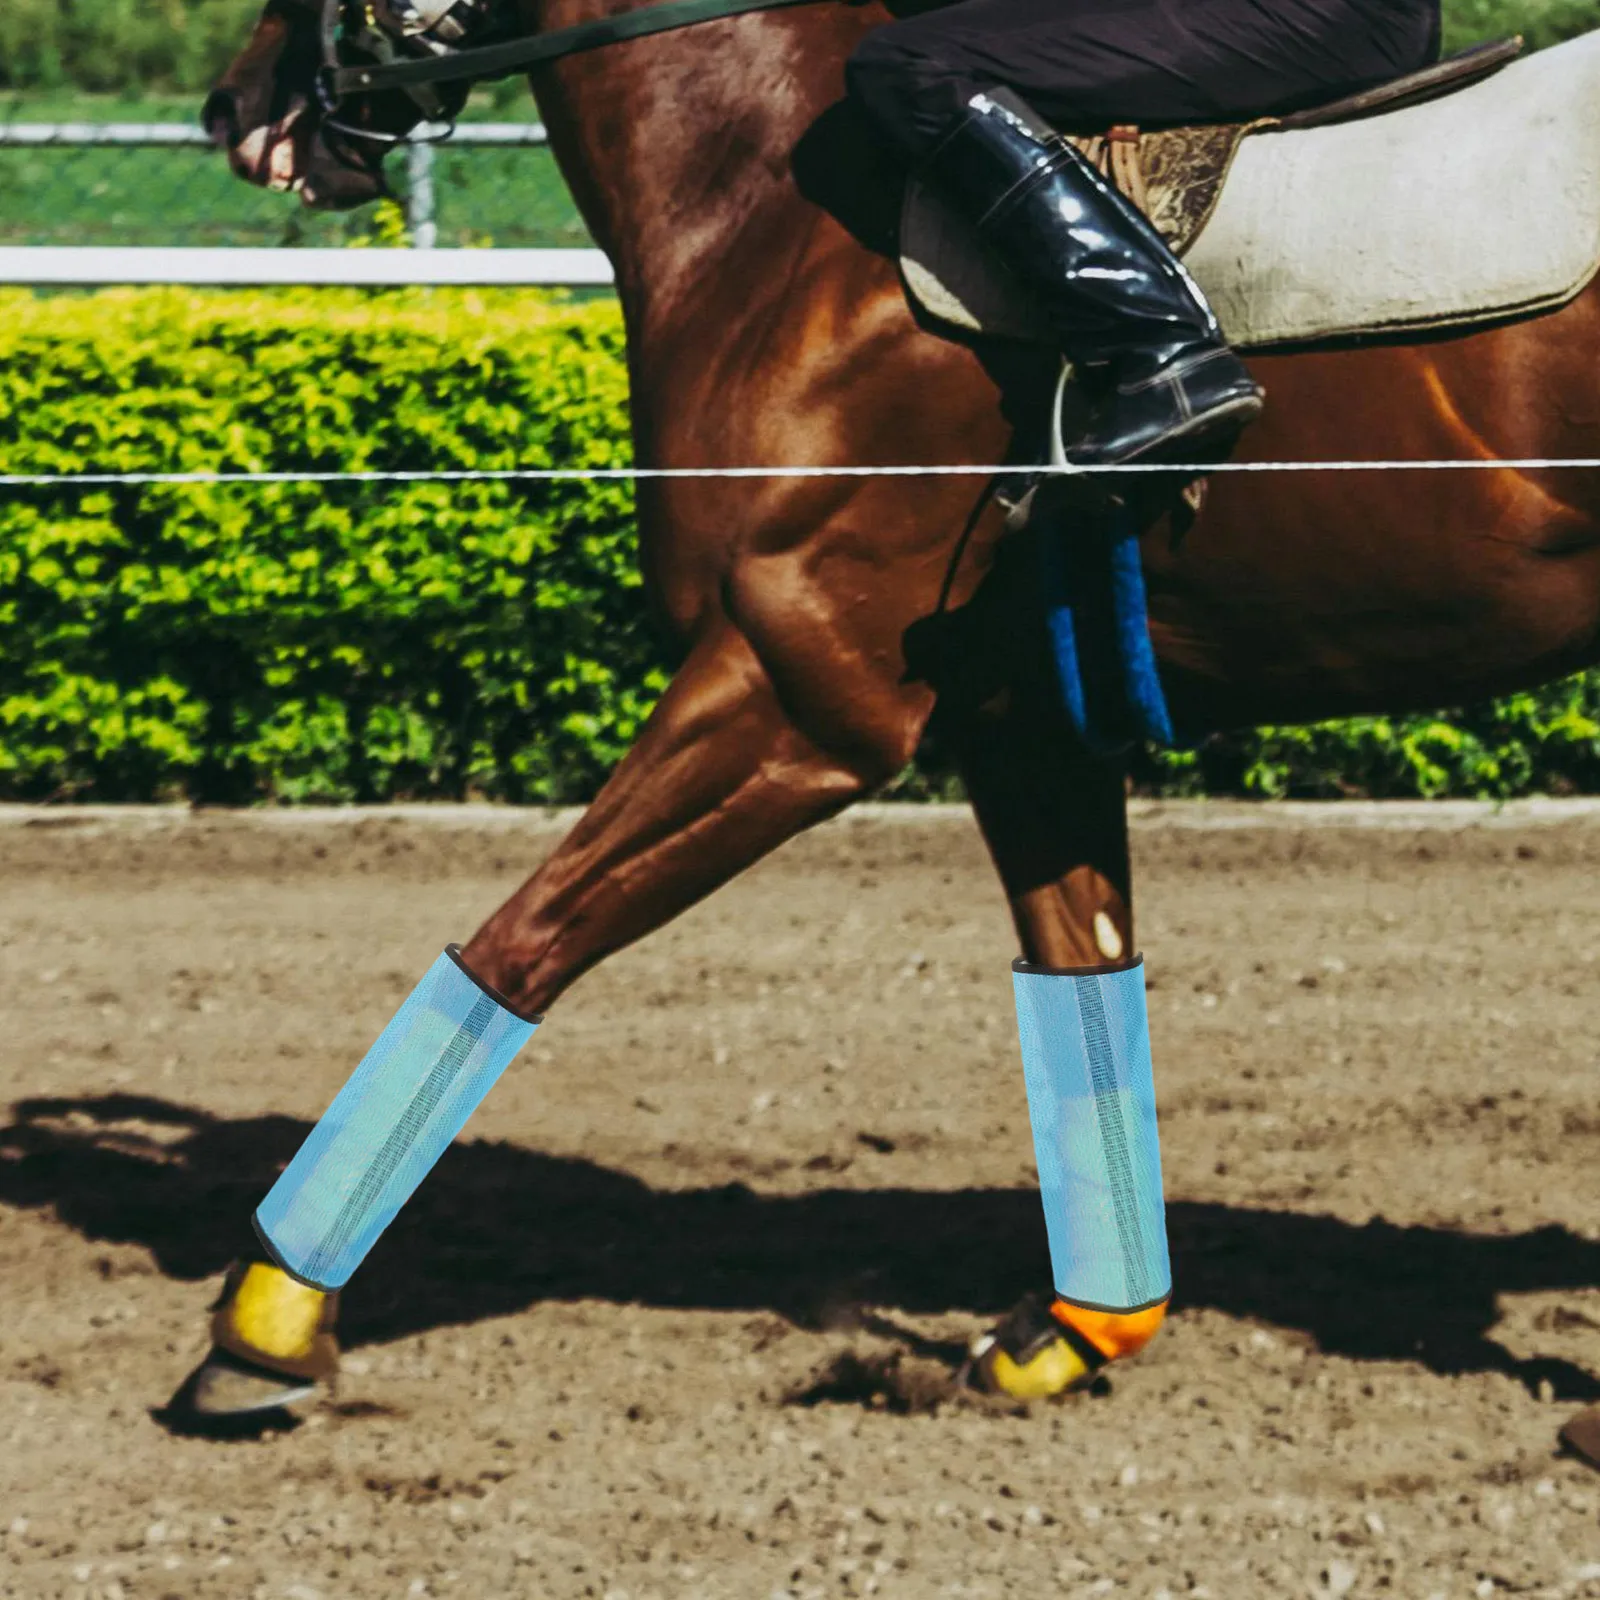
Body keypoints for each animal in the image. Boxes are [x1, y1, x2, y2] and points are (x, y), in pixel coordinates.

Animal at [184, 0, 1600, 1431]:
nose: (238, 108)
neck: (768, 211)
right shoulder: (1022, 724)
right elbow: (1081, 974)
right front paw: (1076, 1331)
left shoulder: (797, 696)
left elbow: (519, 944)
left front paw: (268, 1321)